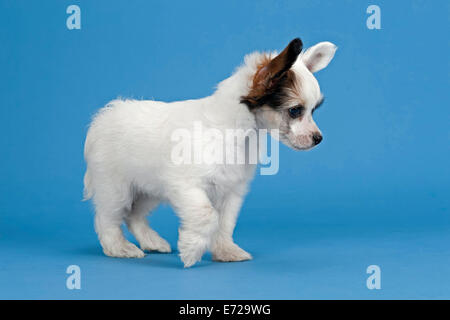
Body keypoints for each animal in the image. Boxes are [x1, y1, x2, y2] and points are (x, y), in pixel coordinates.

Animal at [83, 38, 338, 268]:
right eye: (295, 111)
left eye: (314, 110)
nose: (318, 138)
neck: (235, 131)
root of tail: (103, 117)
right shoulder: (187, 186)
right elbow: (207, 215)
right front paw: (191, 249)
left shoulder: (231, 191)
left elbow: (224, 223)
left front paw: (225, 250)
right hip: (116, 188)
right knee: (107, 218)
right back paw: (119, 247)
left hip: (148, 189)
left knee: (134, 215)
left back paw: (151, 241)